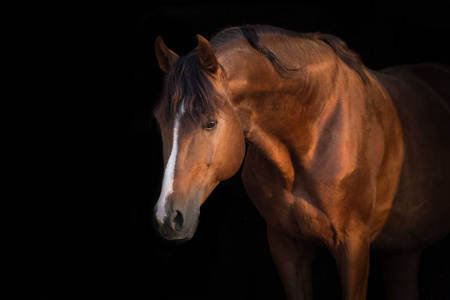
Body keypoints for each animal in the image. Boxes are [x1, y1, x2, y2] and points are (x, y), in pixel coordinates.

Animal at [152, 24, 450, 298]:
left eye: (210, 123)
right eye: (159, 121)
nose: (167, 217)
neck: (317, 131)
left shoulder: (353, 246)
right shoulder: (286, 246)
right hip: (402, 253)